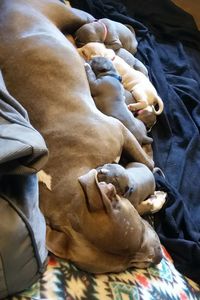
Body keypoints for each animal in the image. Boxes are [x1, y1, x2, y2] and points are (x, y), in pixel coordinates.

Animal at [0, 0, 162, 274]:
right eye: (126, 266)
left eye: (140, 234)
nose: (159, 257)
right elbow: (137, 186)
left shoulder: (119, 131)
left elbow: (146, 163)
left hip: (76, 15)